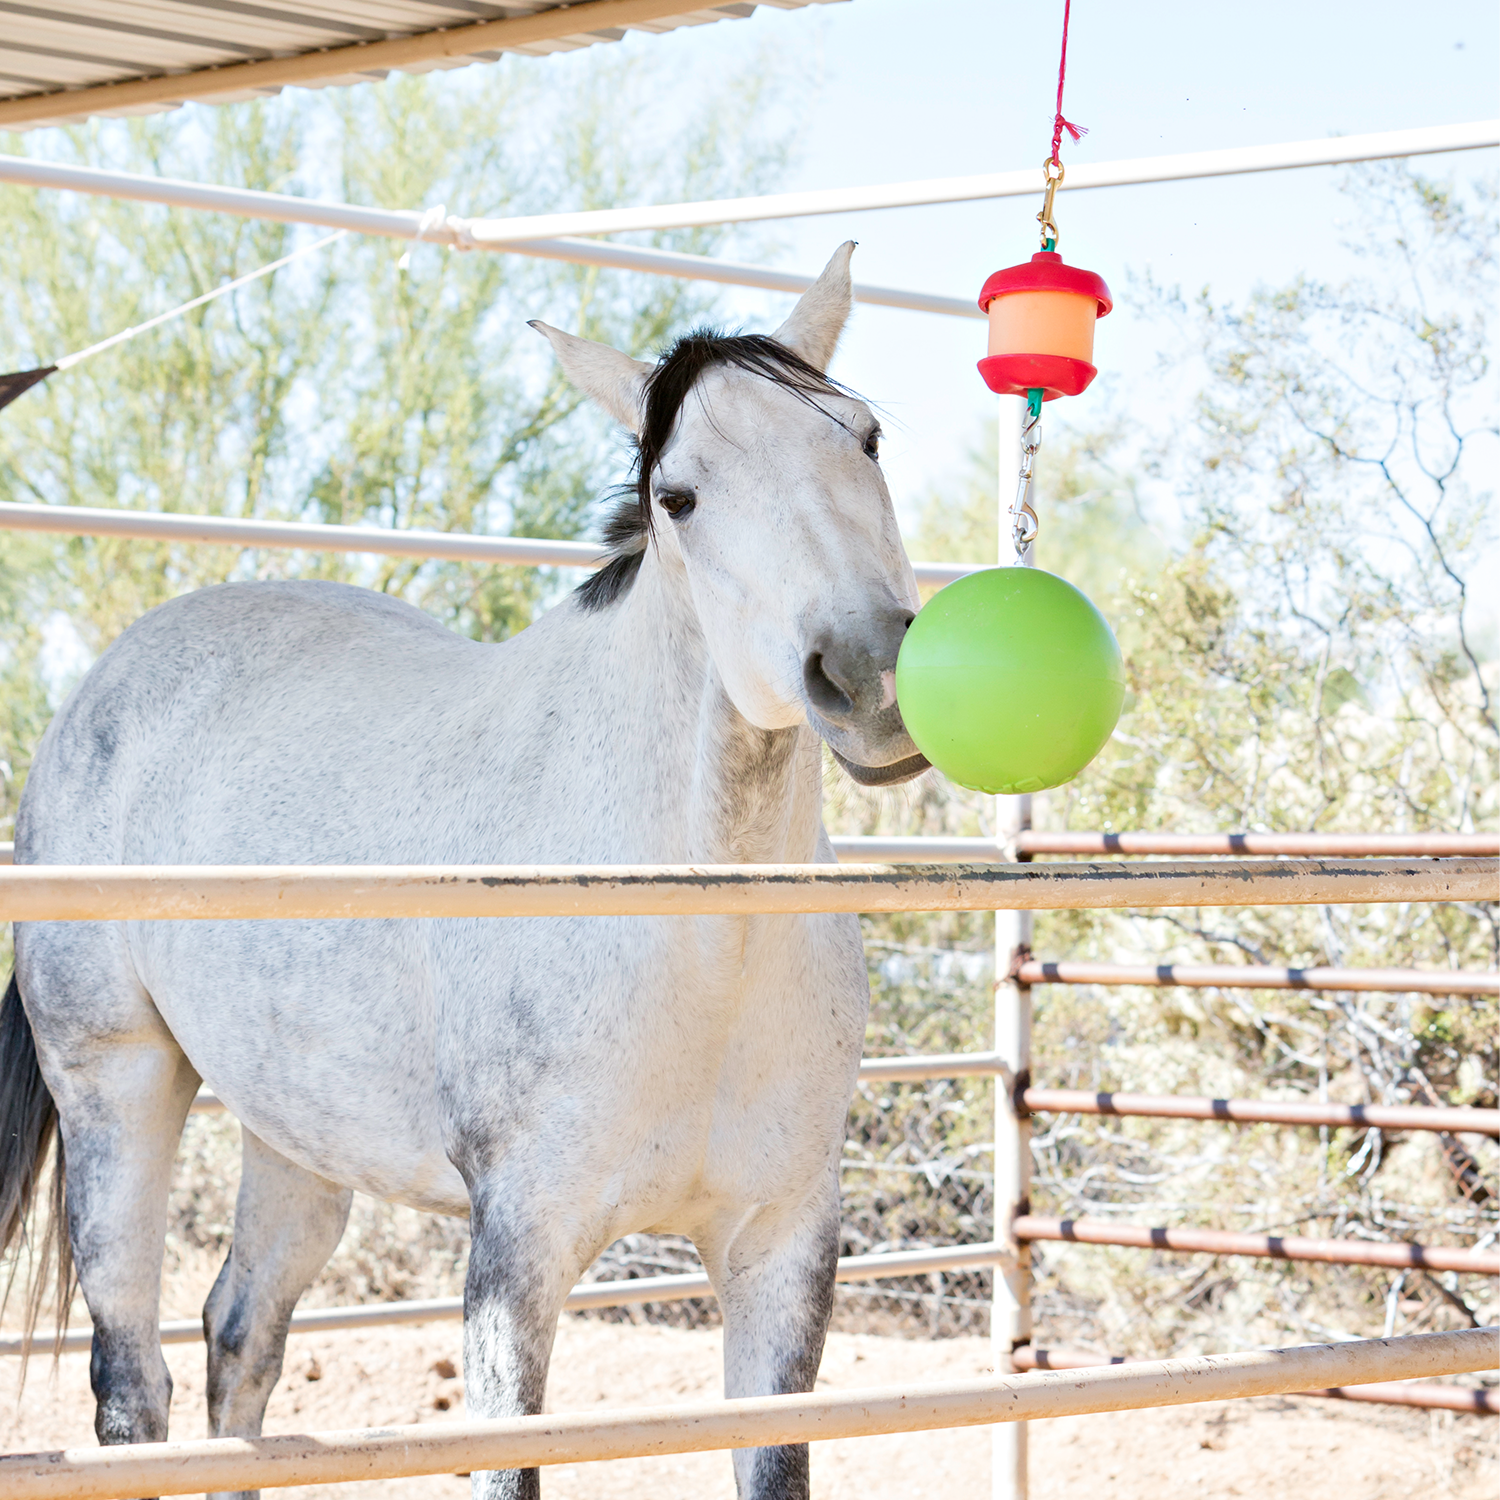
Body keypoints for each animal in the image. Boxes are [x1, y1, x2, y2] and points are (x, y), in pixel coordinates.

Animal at [0, 246, 924, 1500]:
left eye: (865, 439)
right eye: (678, 498)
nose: (871, 676)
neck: (695, 942)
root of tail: (95, 694)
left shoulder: (781, 1247)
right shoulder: (517, 1252)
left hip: (292, 1133)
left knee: (239, 1336)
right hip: (117, 1088)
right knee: (131, 1384)